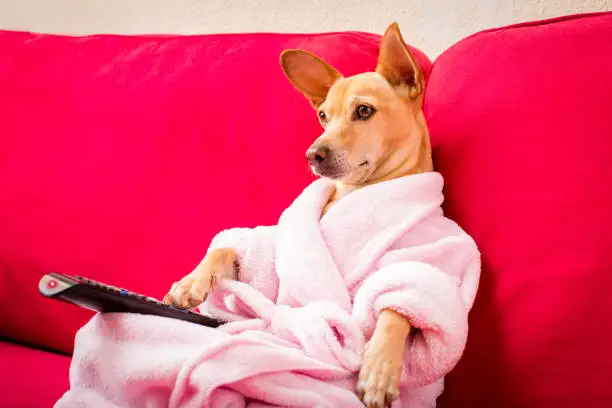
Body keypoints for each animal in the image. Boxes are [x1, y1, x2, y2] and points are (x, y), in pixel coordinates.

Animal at [163, 23, 430, 408]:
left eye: (364, 111)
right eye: (323, 117)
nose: (312, 155)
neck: (354, 192)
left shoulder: (425, 260)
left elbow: (398, 306)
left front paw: (379, 368)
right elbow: (225, 249)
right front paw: (190, 281)